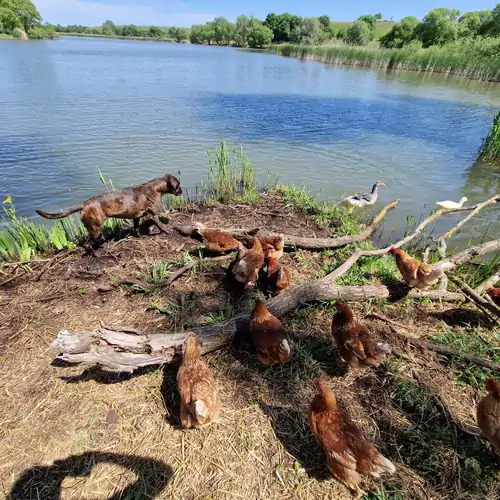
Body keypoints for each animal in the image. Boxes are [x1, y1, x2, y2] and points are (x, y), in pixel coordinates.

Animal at [36, 175, 182, 254]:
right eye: (178, 185)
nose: (181, 190)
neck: (154, 189)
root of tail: (84, 204)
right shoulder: (153, 214)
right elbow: (160, 225)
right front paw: (167, 231)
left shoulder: (136, 217)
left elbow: (136, 228)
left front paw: (139, 236)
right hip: (96, 229)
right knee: (87, 245)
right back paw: (97, 255)